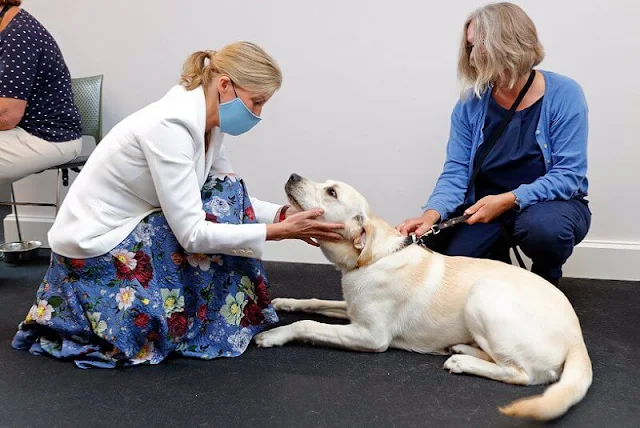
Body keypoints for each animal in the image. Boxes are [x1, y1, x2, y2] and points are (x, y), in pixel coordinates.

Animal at [252, 174, 592, 422]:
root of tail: (577, 337)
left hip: (483, 295)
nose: (294, 175)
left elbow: (307, 325)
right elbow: (316, 303)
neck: (371, 257)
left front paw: (274, 334)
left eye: (331, 192)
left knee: (521, 373)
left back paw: (462, 361)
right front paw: (286, 303)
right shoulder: (353, 311)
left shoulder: (371, 336)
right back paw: (461, 348)